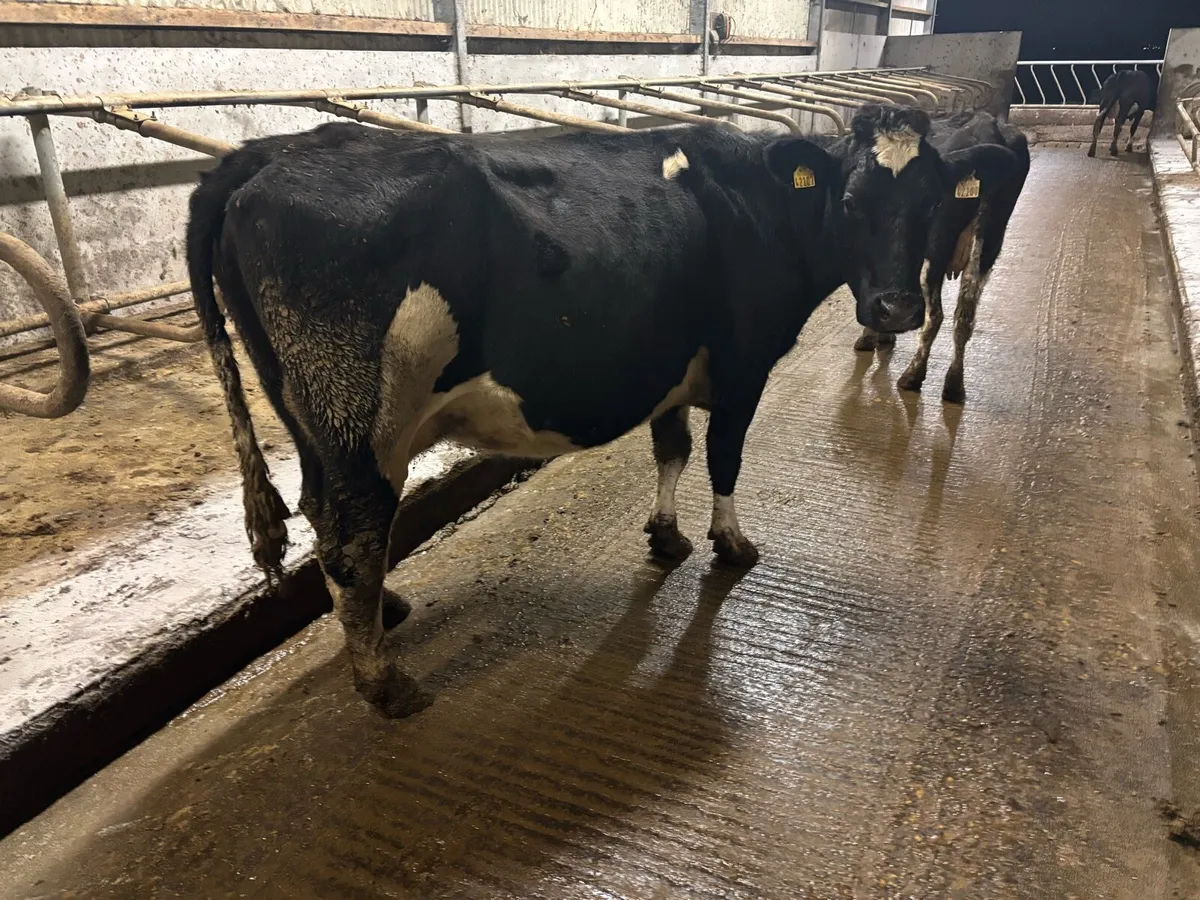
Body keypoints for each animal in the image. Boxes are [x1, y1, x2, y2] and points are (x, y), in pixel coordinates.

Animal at [853, 110, 1030, 404]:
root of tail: (987, 125)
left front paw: (872, 337)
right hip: (988, 244)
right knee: (965, 315)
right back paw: (954, 385)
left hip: (934, 251)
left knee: (934, 315)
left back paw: (912, 376)